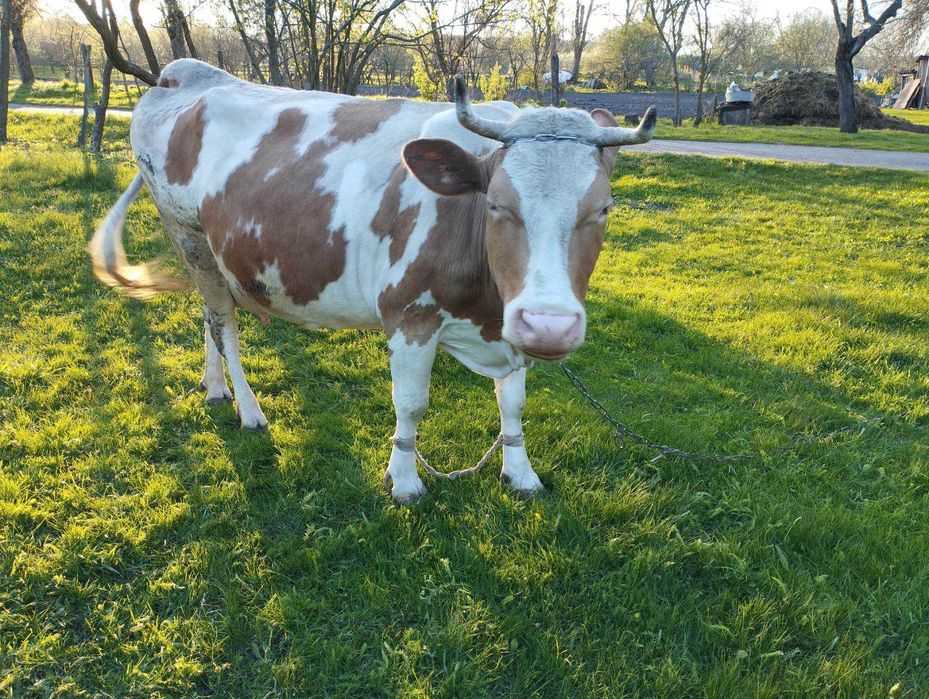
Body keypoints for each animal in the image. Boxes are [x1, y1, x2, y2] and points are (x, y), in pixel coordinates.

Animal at [89, 59, 656, 503]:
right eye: (497, 204)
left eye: (603, 209)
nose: (550, 326)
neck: (485, 307)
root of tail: (181, 74)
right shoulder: (409, 315)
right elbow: (411, 405)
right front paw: (404, 481)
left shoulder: (508, 325)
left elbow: (512, 403)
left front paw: (520, 473)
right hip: (187, 232)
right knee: (224, 321)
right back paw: (249, 409)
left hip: (201, 249)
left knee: (208, 313)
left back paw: (215, 388)